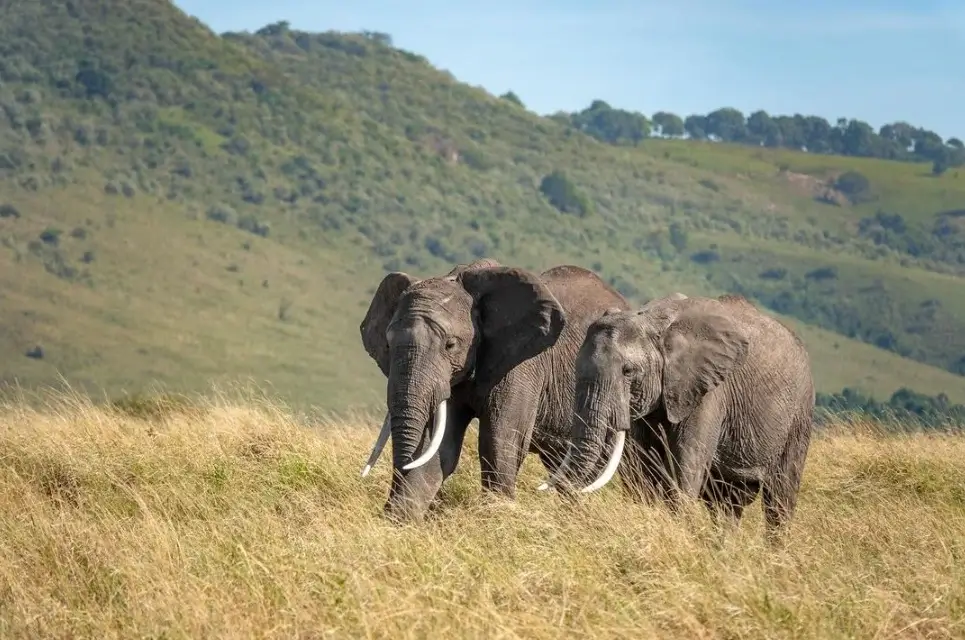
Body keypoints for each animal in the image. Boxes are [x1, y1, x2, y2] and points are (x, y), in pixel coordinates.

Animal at [358, 258, 628, 524]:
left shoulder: (521, 366)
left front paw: (498, 518)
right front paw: (398, 522)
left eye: (450, 345)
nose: (385, 509)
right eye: (388, 345)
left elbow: (499, 441)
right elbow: (439, 449)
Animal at [544, 292, 812, 536]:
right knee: (726, 503)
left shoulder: (706, 391)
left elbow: (685, 466)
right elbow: (644, 468)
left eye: (628, 371)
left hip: (799, 414)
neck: (652, 322)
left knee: (779, 499)